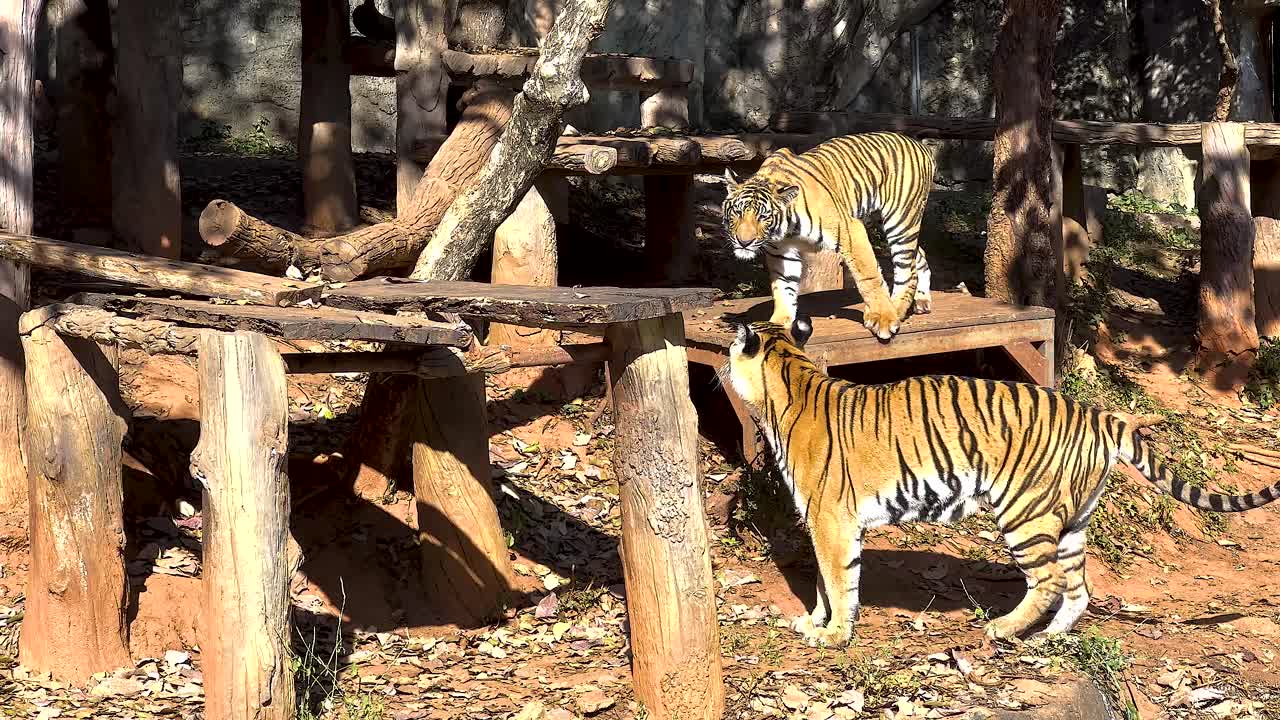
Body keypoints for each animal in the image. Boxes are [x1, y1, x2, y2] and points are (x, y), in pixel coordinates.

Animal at [721, 132, 935, 341]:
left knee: (907, 270)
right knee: (919, 255)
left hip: (901, 219)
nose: (744, 242)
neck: (786, 229)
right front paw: (778, 323)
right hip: (884, 221)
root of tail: (919, 145)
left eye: (763, 217)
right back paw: (922, 300)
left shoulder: (850, 230)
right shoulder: (781, 252)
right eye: (737, 213)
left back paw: (895, 310)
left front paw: (882, 318)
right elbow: (783, 287)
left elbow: (869, 277)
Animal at [724, 318, 1280, 647]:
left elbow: (837, 579)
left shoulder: (830, 519)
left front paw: (834, 634)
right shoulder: (827, 522)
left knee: (1048, 580)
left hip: (1024, 512)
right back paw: (1046, 640)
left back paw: (1002, 628)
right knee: (1078, 587)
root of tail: (1097, 416)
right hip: (1072, 521)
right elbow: (825, 579)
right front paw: (815, 621)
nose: (721, 368)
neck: (787, 379)